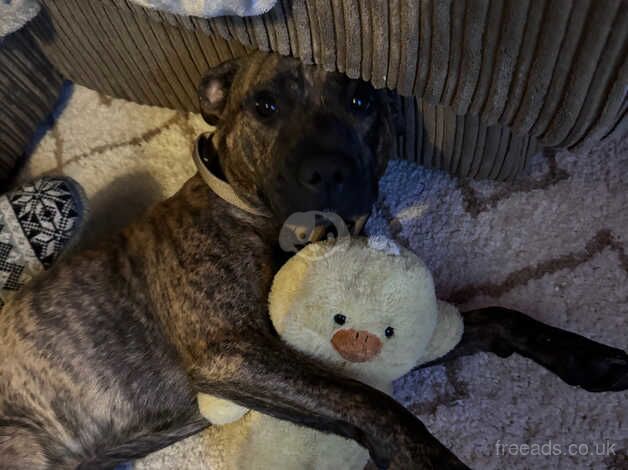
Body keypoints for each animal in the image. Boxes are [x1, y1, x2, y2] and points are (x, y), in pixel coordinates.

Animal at [0, 53, 624, 468]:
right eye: (265, 105)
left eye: (361, 100)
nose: (326, 170)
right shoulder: (231, 351)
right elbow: (369, 400)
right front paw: (424, 458)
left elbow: (496, 317)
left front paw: (584, 357)